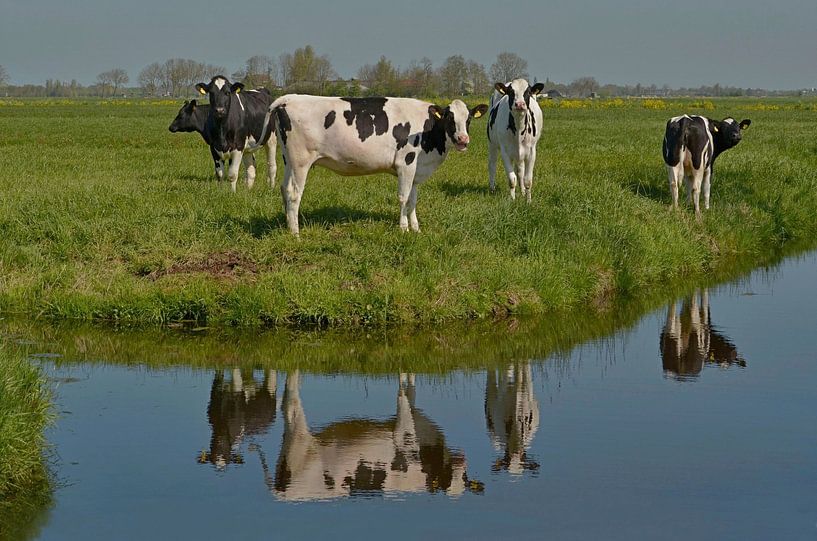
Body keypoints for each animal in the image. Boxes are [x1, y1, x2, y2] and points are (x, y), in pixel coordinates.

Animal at [252, 95, 488, 235]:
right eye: (449, 118)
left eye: (468, 119)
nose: (463, 140)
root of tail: (289, 98)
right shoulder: (406, 163)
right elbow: (403, 198)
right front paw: (403, 228)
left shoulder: (416, 169)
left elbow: (413, 199)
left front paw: (416, 228)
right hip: (301, 161)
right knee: (294, 192)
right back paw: (295, 233)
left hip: (289, 160)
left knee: (284, 189)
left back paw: (287, 224)